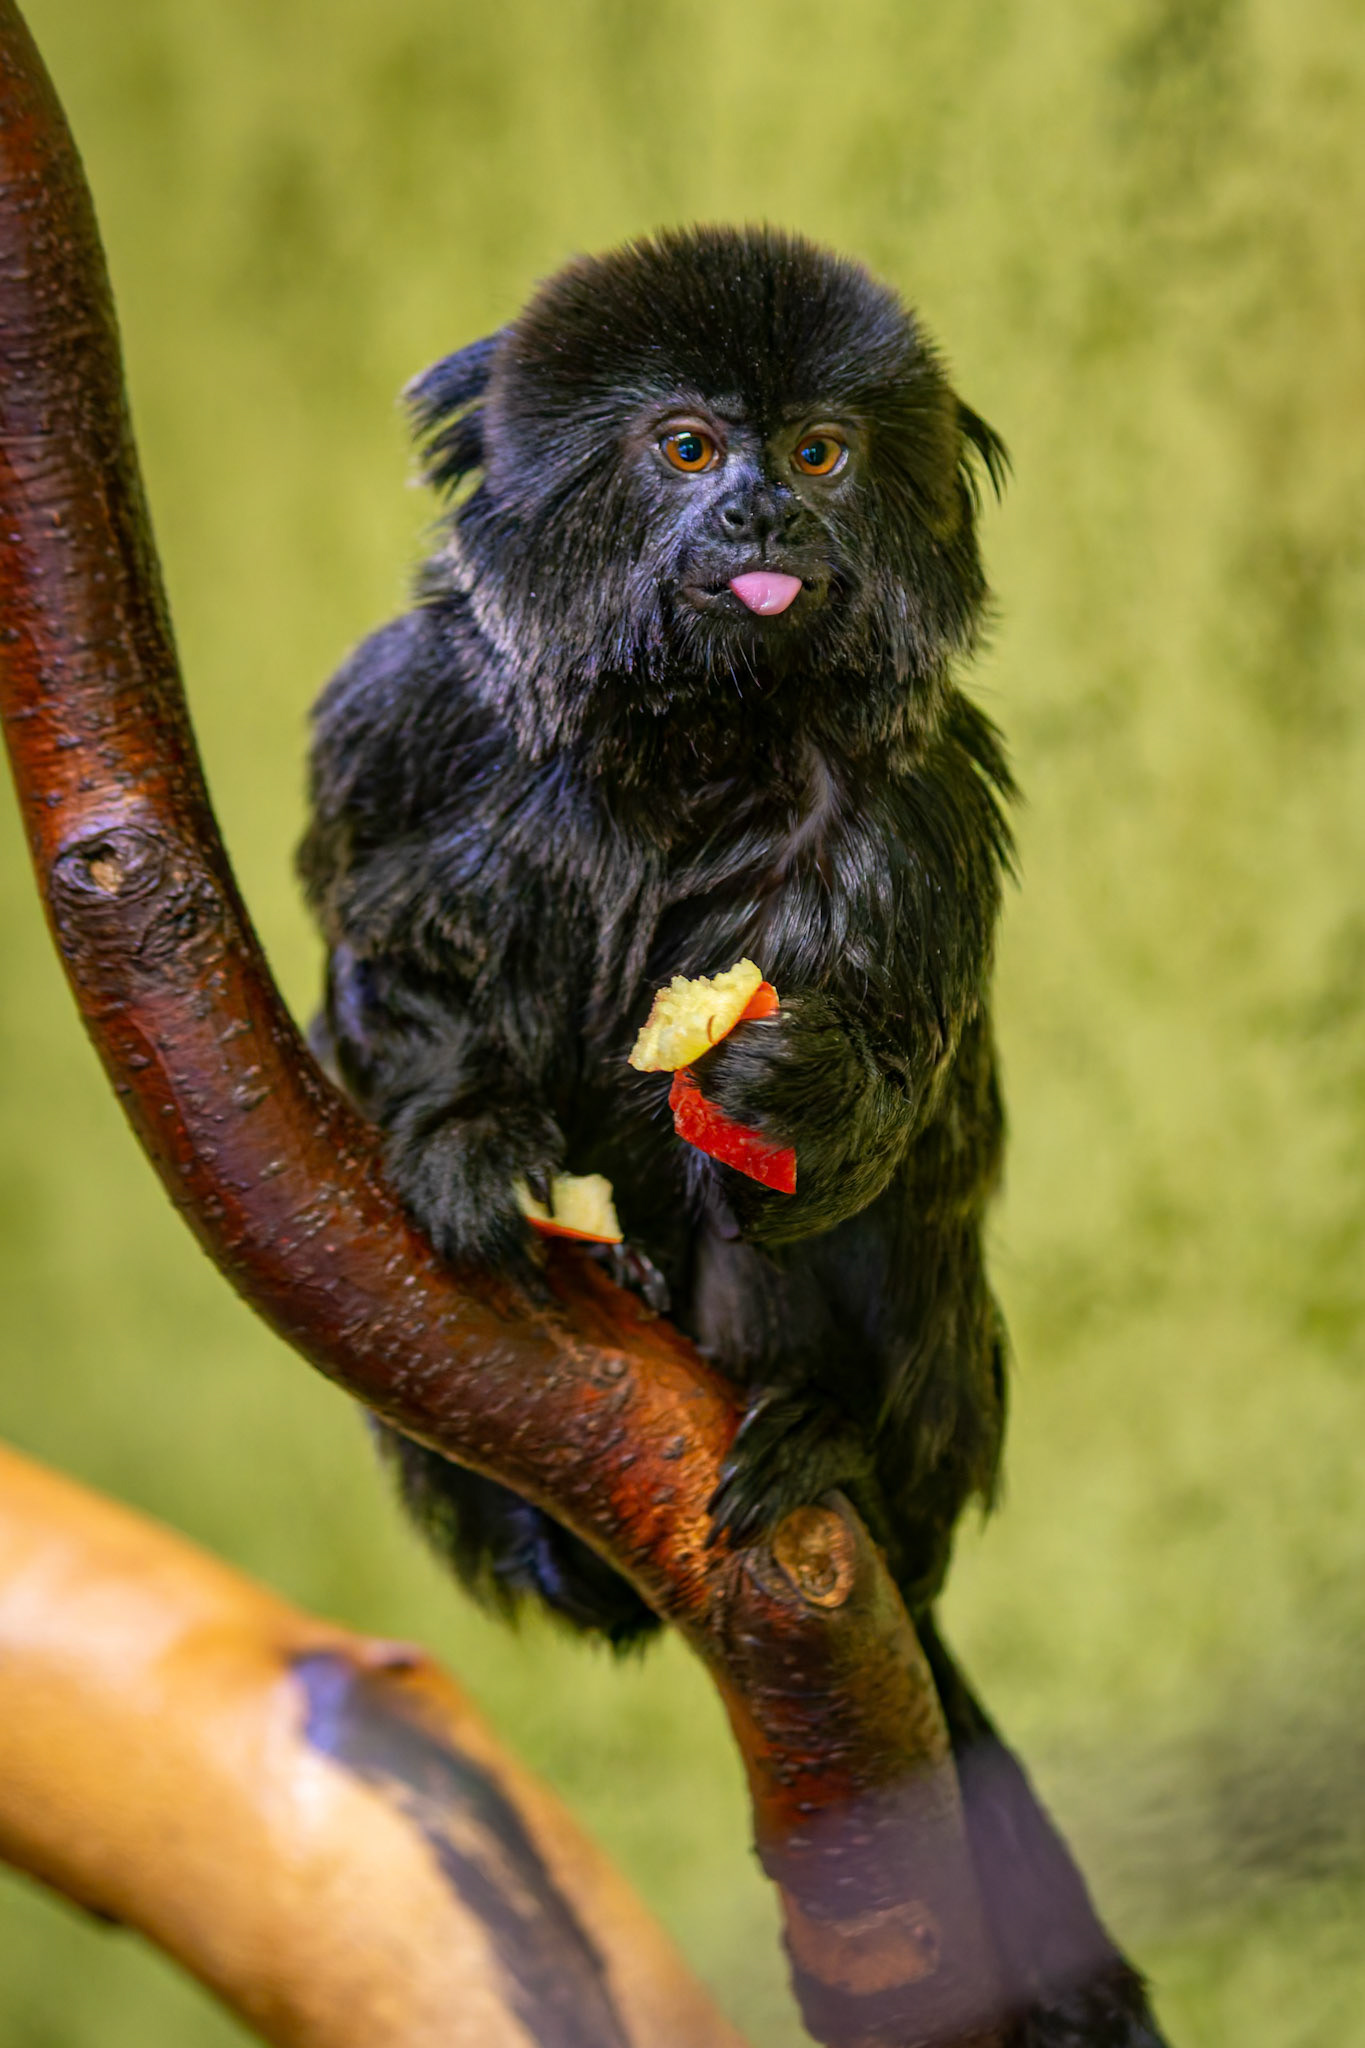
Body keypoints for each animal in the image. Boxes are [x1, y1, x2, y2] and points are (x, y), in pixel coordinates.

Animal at [299, 226, 1167, 2045]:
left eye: (822, 454)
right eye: (692, 449)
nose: (766, 515)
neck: (684, 730)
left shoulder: (923, 798)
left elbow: (887, 1100)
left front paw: (798, 1094)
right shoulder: (402, 713)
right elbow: (386, 960)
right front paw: (469, 1138)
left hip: (930, 1416)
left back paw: (822, 1436)